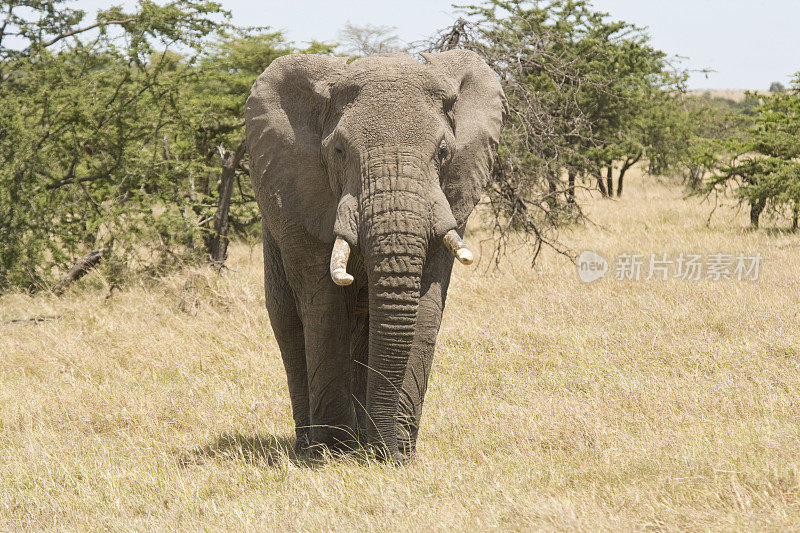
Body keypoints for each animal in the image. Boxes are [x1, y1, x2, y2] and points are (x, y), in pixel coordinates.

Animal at [244, 51, 506, 466]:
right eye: (338, 151)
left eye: (443, 152)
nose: (389, 457)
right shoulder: (303, 197)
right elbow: (324, 307)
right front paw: (335, 453)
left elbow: (425, 308)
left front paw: (397, 452)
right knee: (288, 323)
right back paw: (312, 446)